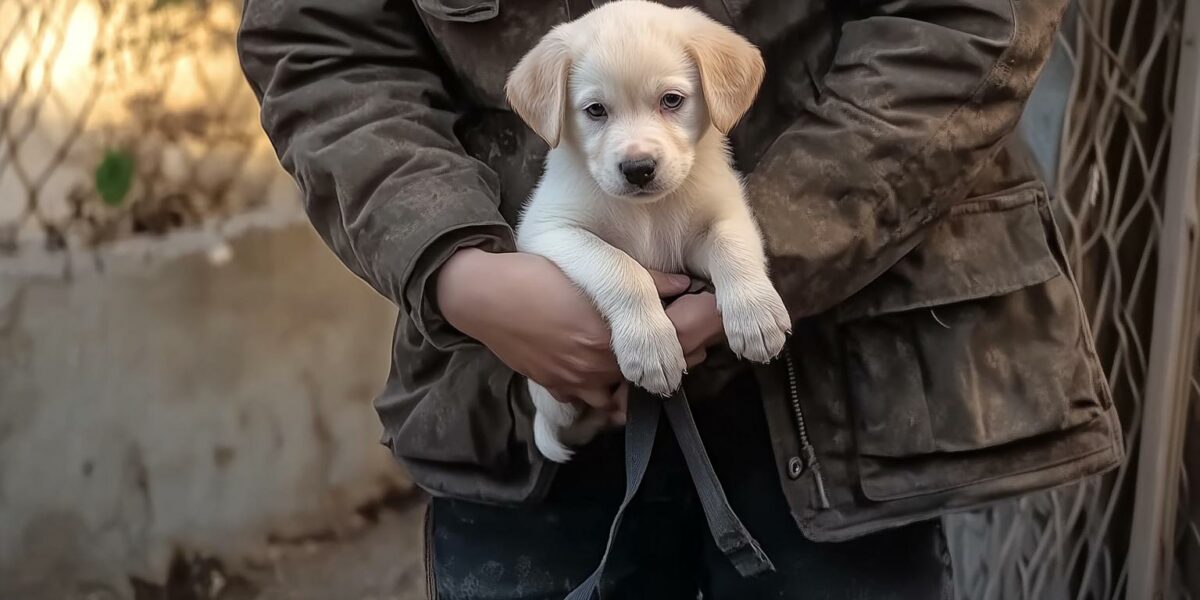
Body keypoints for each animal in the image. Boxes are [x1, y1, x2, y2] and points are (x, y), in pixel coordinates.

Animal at [504, 0, 787, 463]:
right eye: (595, 110)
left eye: (671, 100)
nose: (638, 169)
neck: (648, 213)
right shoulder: (548, 229)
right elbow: (622, 268)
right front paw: (650, 347)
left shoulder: (723, 213)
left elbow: (732, 247)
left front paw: (755, 316)